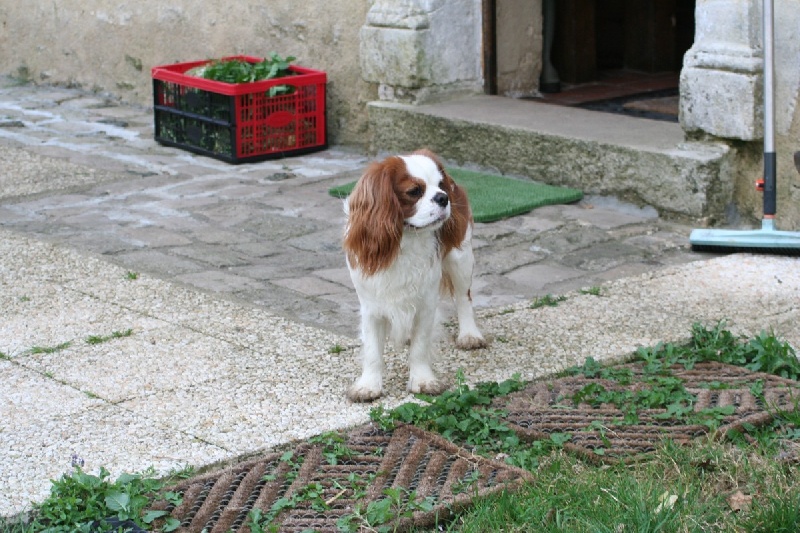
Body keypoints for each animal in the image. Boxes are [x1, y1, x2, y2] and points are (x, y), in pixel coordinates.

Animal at [342, 148, 484, 402]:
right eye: (414, 191)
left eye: (441, 185)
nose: (443, 197)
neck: (405, 239)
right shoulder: (371, 306)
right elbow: (373, 351)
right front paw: (369, 385)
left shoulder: (426, 304)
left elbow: (420, 347)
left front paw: (423, 381)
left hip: (460, 257)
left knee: (463, 297)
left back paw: (469, 334)